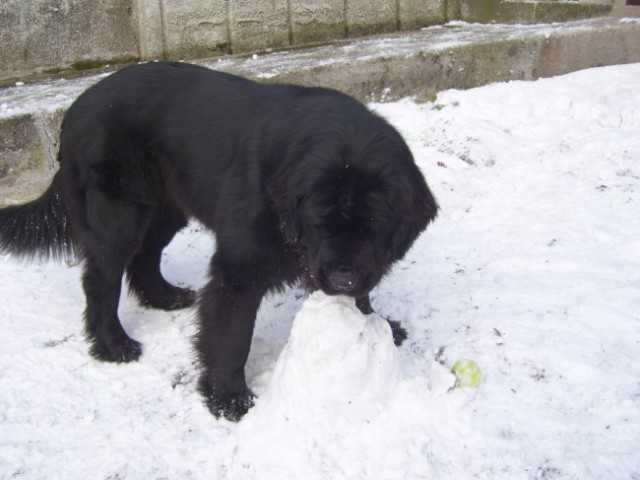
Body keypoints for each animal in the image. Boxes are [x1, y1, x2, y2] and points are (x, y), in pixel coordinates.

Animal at [0, 62, 438, 422]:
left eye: (372, 226)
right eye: (321, 223)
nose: (342, 277)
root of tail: (76, 107)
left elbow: (363, 295)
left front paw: (376, 323)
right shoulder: (239, 270)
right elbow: (231, 335)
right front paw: (229, 399)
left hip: (166, 206)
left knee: (145, 256)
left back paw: (165, 297)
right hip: (119, 213)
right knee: (102, 279)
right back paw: (113, 345)